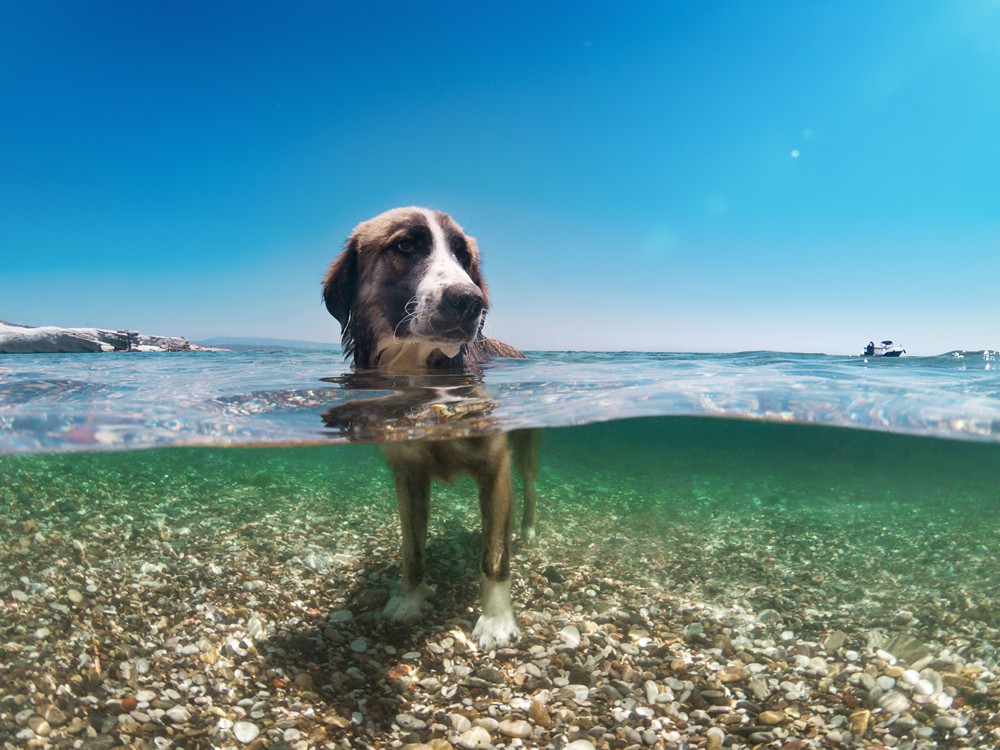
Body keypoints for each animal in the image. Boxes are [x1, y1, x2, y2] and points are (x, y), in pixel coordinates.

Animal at [322, 207, 540, 652]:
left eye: (464, 258)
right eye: (406, 245)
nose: (471, 301)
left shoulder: (497, 468)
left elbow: (495, 556)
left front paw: (496, 620)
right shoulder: (407, 473)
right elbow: (412, 549)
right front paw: (409, 599)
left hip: (526, 449)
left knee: (529, 487)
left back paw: (527, 530)